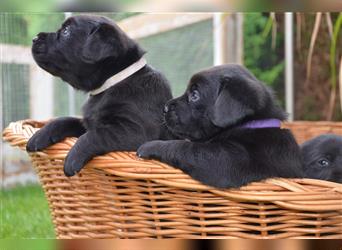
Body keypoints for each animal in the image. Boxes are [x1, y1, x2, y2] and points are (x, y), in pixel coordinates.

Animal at [26, 14, 172, 177]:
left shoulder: (136, 132)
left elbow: (95, 135)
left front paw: (73, 158)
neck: (110, 84)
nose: (34, 38)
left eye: (66, 31)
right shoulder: (87, 124)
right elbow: (65, 120)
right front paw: (39, 135)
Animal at [138, 64, 304, 188]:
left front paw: (150, 146)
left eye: (195, 95)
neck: (248, 125)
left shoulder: (226, 162)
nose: (164, 108)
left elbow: (185, 147)